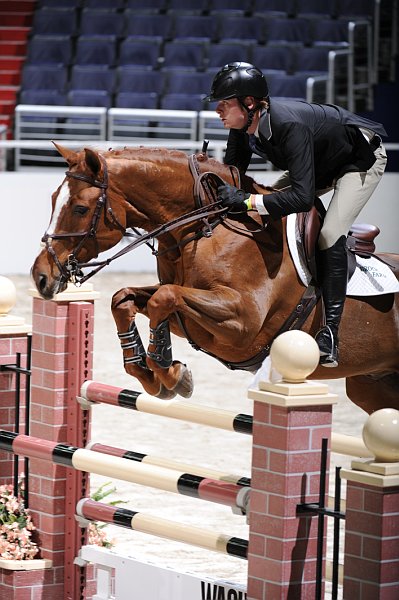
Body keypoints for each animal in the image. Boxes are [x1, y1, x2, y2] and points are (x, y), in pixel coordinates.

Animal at [31, 146, 399, 418]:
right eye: (51, 200)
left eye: (80, 208)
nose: (41, 276)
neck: (207, 226)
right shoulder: (189, 314)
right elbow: (126, 298)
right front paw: (156, 373)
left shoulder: (243, 324)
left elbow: (163, 298)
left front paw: (168, 370)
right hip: (372, 385)